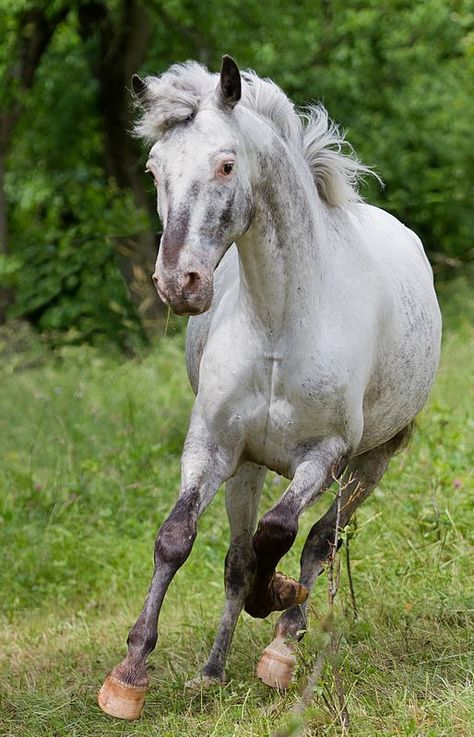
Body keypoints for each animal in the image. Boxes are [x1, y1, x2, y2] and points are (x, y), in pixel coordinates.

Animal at [98, 56, 442, 720]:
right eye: (154, 170)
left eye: (226, 164)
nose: (179, 283)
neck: (282, 320)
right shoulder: (213, 445)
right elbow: (177, 540)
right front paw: (128, 676)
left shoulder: (325, 454)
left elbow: (279, 535)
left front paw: (277, 600)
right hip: (251, 465)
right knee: (238, 559)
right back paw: (212, 671)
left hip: (371, 463)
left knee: (318, 541)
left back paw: (283, 647)